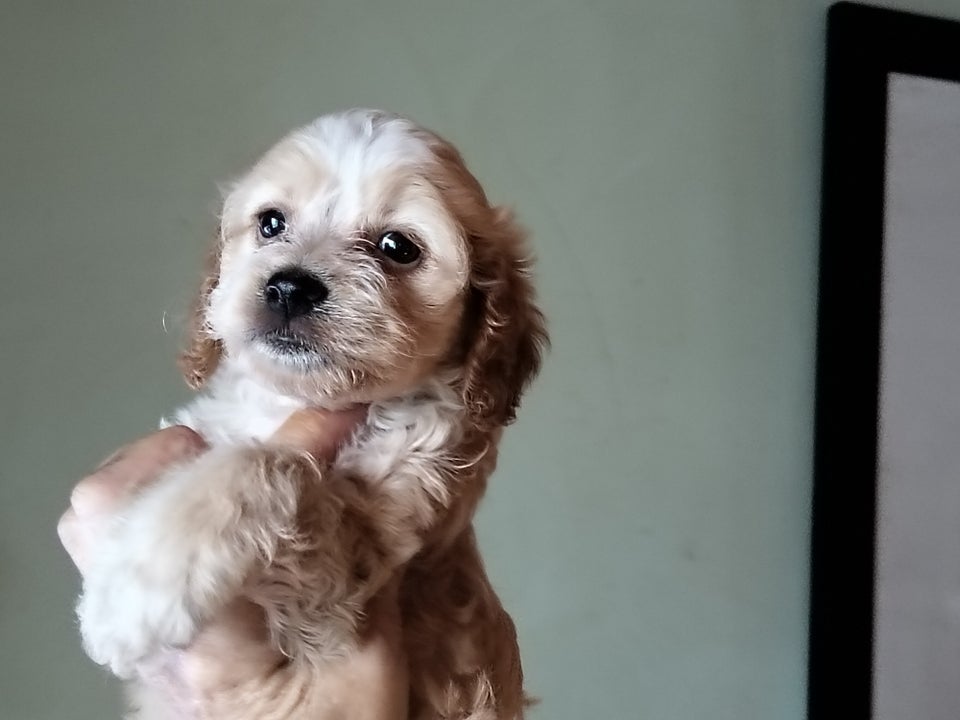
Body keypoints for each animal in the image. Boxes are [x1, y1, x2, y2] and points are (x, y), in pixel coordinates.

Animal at [77, 108, 548, 720]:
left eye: (398, 246)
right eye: (271, 223)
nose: (289, 287)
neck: (301, 400)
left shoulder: (353, 578)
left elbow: (268, 463)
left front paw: (134, 591)